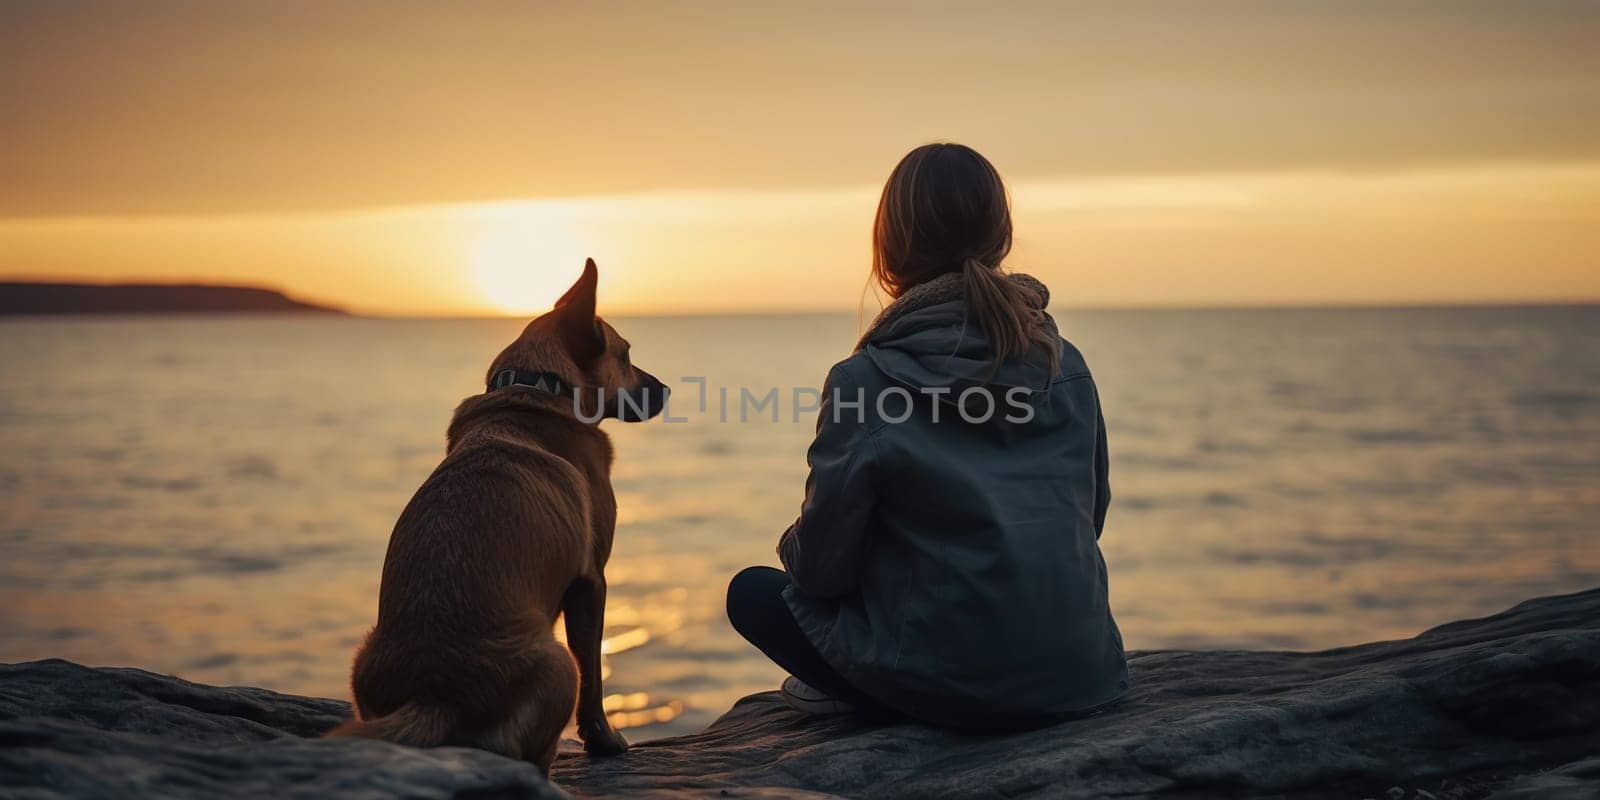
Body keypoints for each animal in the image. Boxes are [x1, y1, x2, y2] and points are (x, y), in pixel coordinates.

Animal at [328, 259, 665, 771]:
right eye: (625, 356)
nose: (666, 389)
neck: (538, 388)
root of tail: (436, 697)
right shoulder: (592, 581)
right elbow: (594, 674)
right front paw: (605, 739)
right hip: (557, 664)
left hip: (364, 658)